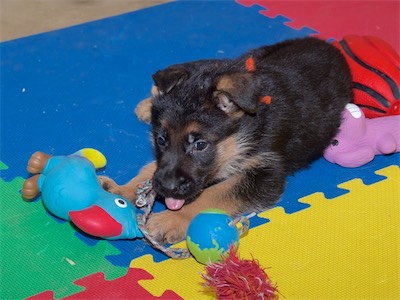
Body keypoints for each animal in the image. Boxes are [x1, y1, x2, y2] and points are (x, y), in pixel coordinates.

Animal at [102, 37, 354, 244]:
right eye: (161, 139)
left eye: (200, 145)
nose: (166, 188)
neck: (246, 126)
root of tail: (327, 45)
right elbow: (150, 169)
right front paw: (121, 191)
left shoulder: (265, 173)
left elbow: (214, 193)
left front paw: (170, 220)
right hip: (245, 59)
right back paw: (149, 102)